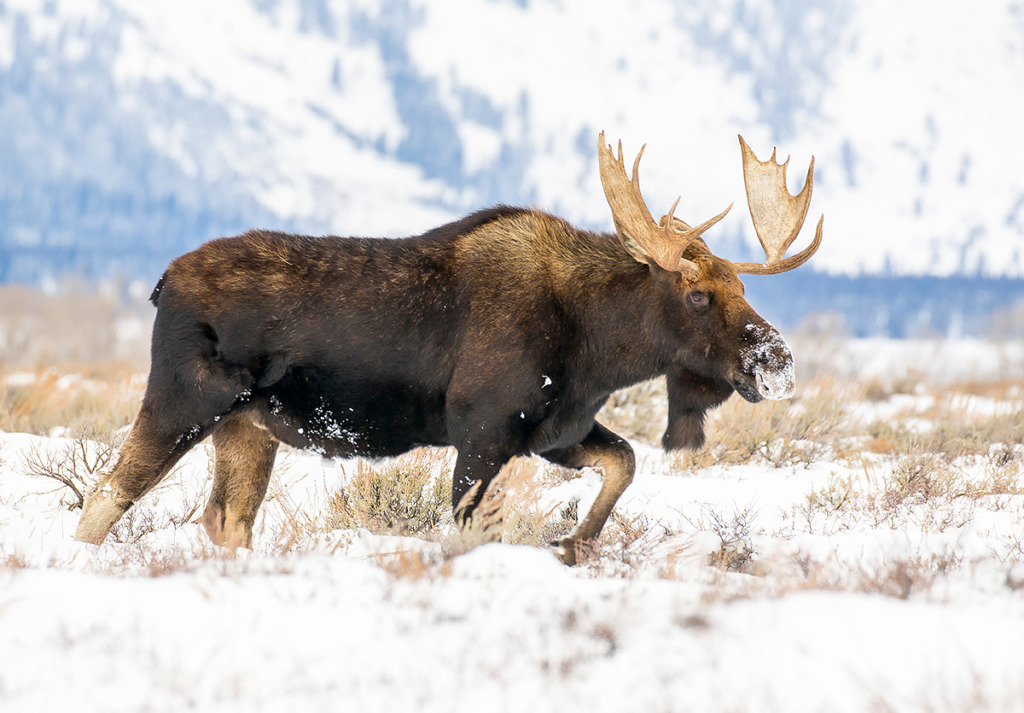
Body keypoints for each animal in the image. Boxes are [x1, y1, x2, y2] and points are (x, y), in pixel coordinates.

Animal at [74, 133, 823, 565]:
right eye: (696, 294)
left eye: (740, 286)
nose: (777, 360)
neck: (599, 347)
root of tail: (161, 282)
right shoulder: (484, 430)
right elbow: (467, 529)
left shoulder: (555, 430)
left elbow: (625, 462)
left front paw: (573, 541)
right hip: (185, 398)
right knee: (105, 497)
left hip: (247, 426)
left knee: (225, 519)